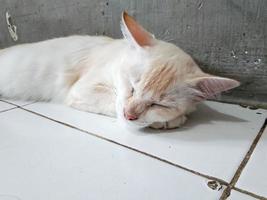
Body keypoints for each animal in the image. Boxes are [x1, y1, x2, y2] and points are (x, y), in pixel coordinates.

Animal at [0, 11, 241, 129]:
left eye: (159, 104)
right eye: (132, 87)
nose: (130, 115)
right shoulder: (82, 89)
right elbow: (113, 102)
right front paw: (169, 121)